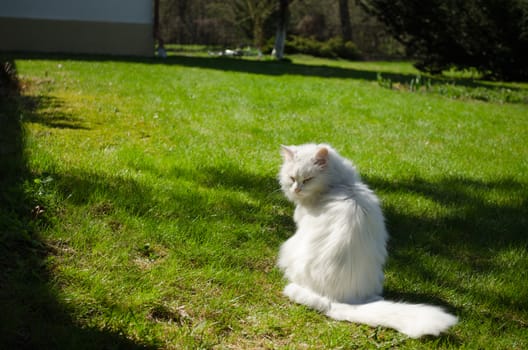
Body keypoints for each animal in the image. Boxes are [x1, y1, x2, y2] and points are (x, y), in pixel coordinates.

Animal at [278, 144, 456, 338]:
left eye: (308, 179)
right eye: (292, 178)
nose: (296, 189)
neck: (341, 184)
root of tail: (339, 300)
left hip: (290, 250)